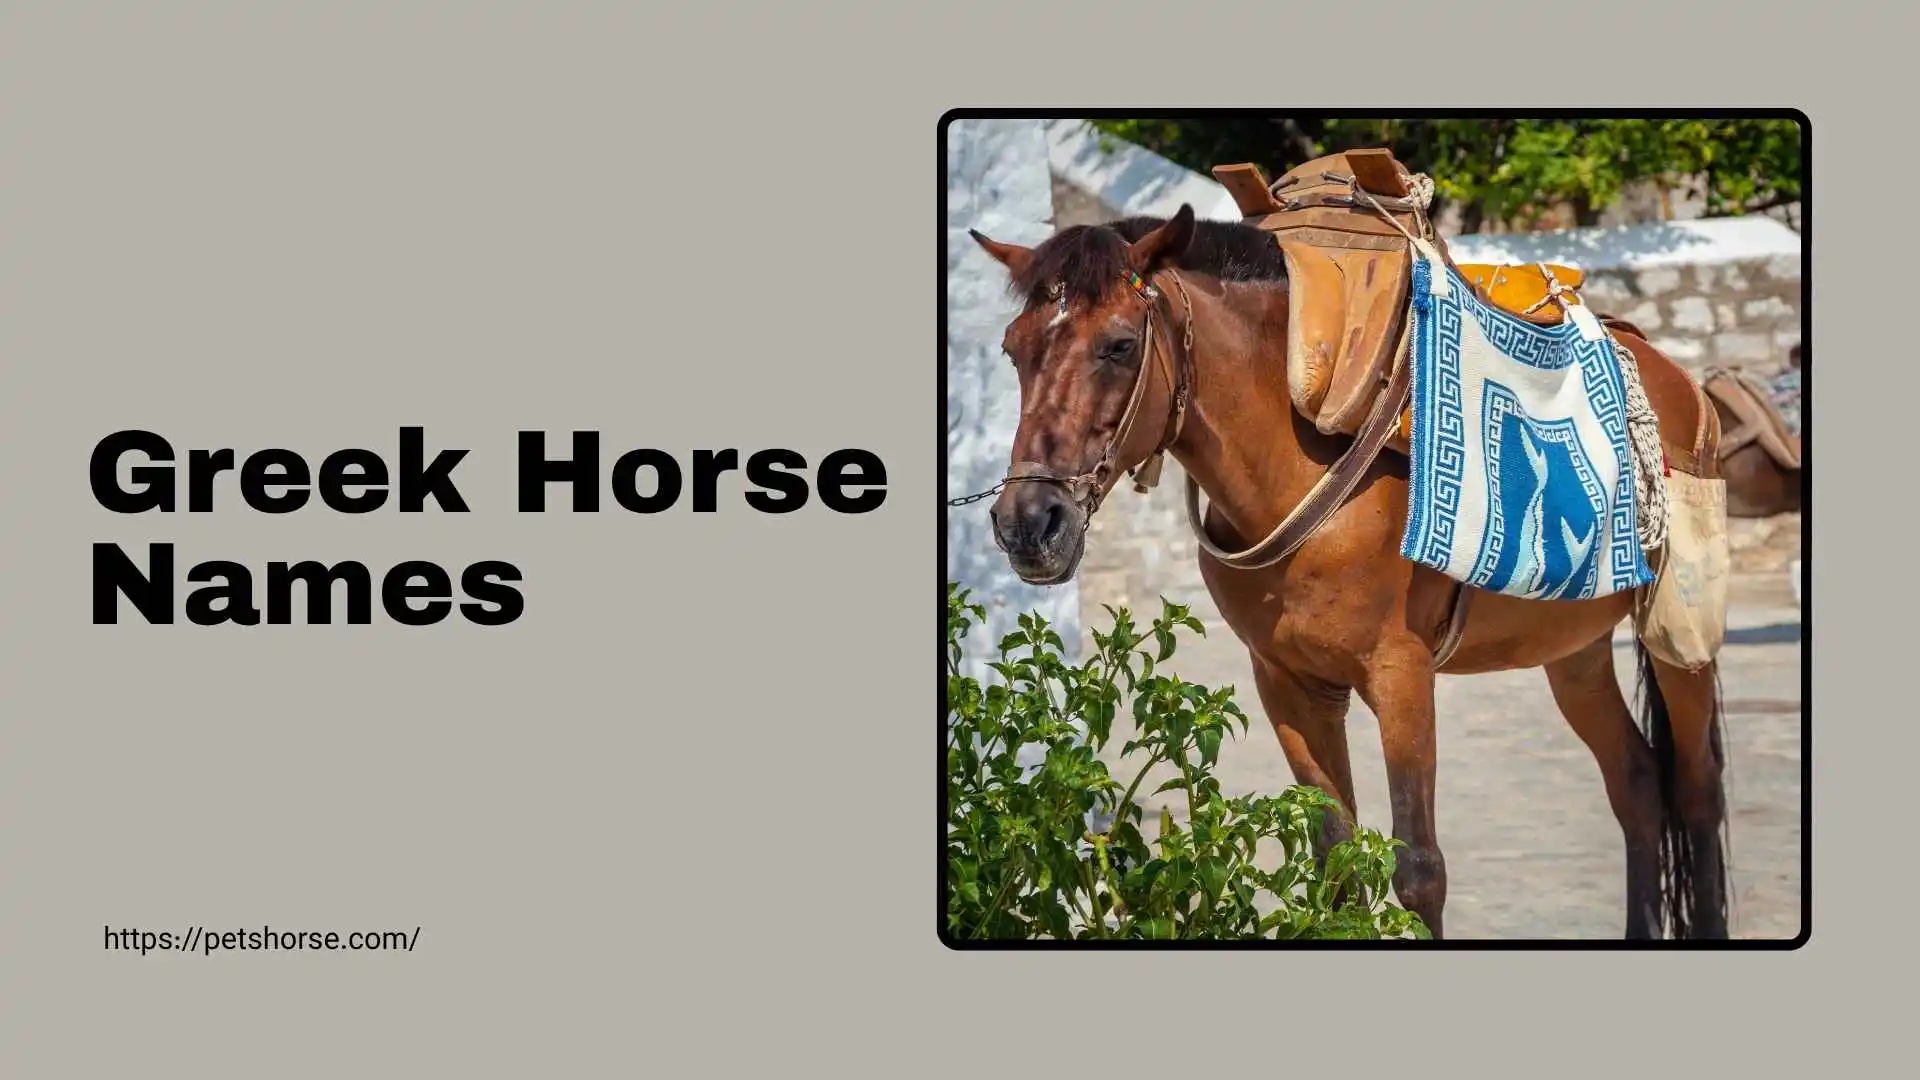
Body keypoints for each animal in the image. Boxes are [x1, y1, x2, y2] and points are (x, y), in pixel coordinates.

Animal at [965, 204, 1732, 939]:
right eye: (1013, 350)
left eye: (1119, 345)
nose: (1029, 522)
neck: (1303, 454)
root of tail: (1678, 384)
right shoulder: (1287, 682)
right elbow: (1335, 858)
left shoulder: (1401, 675)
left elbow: (1419, 869)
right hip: (1572, 647)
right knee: (1636, 784)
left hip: (1678, 637)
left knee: (1697, 790)